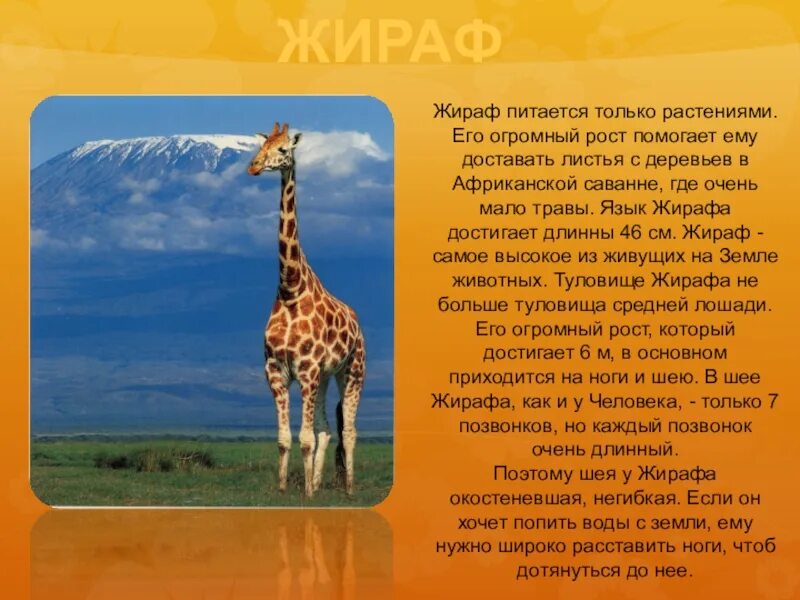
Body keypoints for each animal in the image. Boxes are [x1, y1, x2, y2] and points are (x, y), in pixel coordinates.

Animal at [247, 122, 366, 498]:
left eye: (283, 150)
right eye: (261, 146)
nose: (253, 166)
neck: (290, 289)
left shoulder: (309, 370)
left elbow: (304, 438)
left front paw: (308, 494)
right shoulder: (276, 371)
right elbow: (286, 438)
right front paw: (286, 487)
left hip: (352, 371)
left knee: (349, 430)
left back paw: (348, 488)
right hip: (326, 377)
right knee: (327, 428)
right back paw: (317, 481)